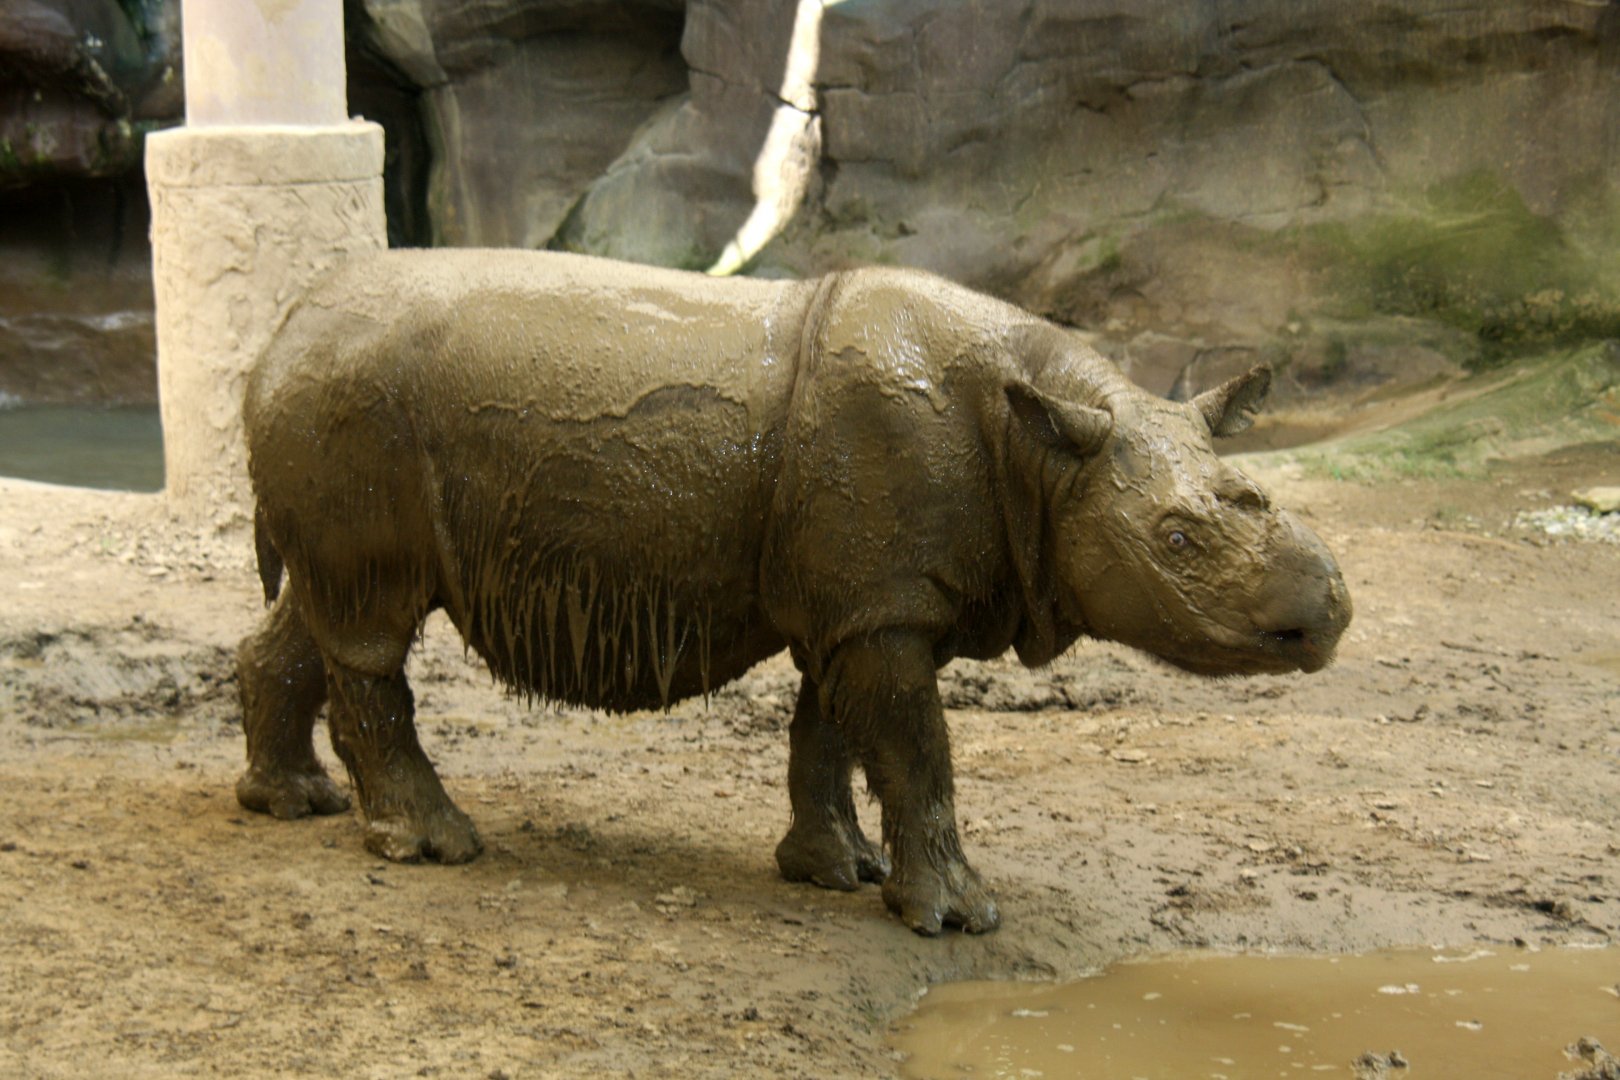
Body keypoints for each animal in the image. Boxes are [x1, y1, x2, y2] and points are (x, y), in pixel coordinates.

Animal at [236, 249, 1350, 935]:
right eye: (1175, 540)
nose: (1329, 615)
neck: (1047, 454)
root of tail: (280, 328)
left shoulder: (859, 603)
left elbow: (831, 732)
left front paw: (838, 871)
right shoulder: (883, 605)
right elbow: (916, 750)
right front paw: (957, 918)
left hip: (333, 401)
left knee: (319, 616)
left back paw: (290, 804)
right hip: (356, 404)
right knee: (373, 624)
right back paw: (435, 849)